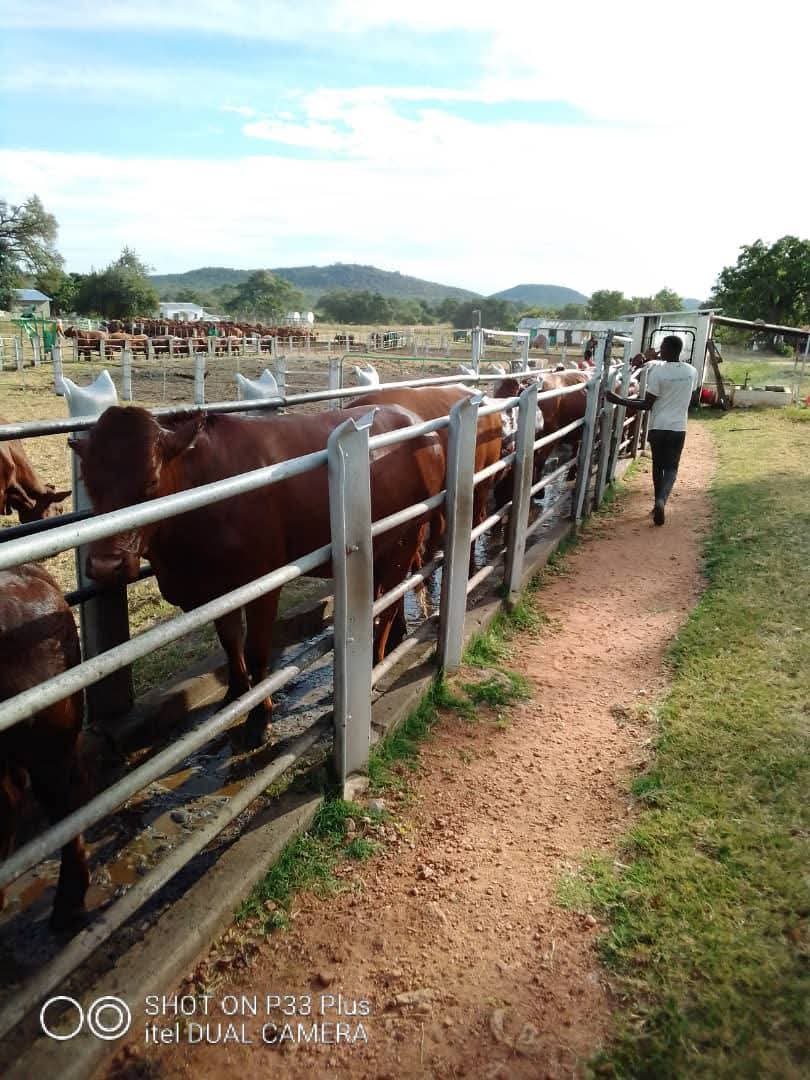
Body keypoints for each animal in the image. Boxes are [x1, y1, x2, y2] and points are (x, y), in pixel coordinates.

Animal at [70, 405, 445, 746]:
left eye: (150, 481)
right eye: (88, 481)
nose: (104, 565)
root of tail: (413, 419)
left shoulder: (263, 583)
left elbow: (257, 650)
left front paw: (258, 716)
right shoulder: (216, 590)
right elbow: (230, 642)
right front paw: (236, 696)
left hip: (405, 536)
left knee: (389, 602)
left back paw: (374, 662)